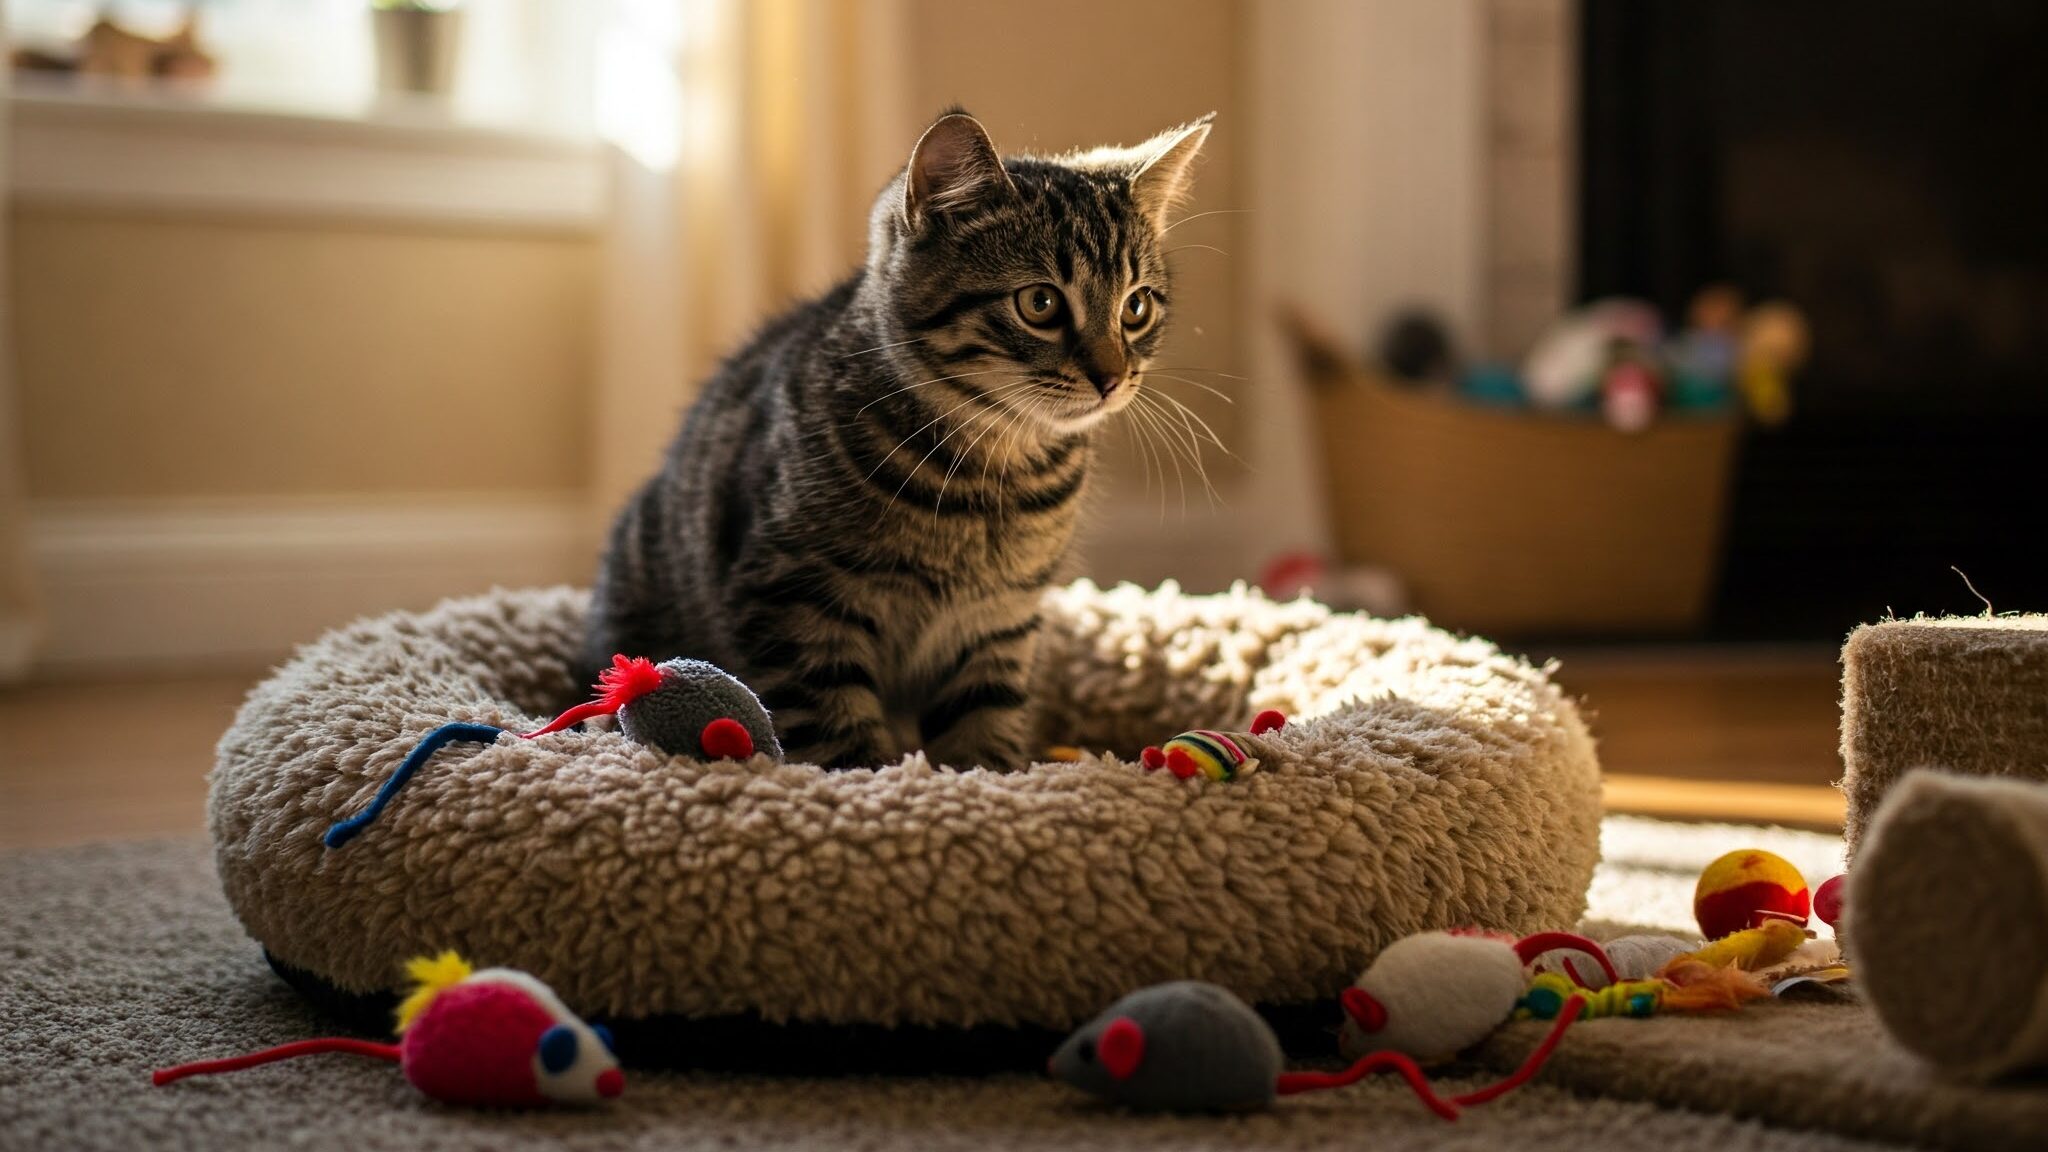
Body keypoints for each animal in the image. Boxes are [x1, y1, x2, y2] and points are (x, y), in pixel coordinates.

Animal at [585, 109, 1204, 770]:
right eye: (1040, 303)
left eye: (1136, 308)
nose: (1112, 378)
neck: (994, 472)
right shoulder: (796, 601)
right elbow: (837, 727)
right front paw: (879, 780)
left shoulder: (998, 621)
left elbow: (984, 723)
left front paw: (990, 777)